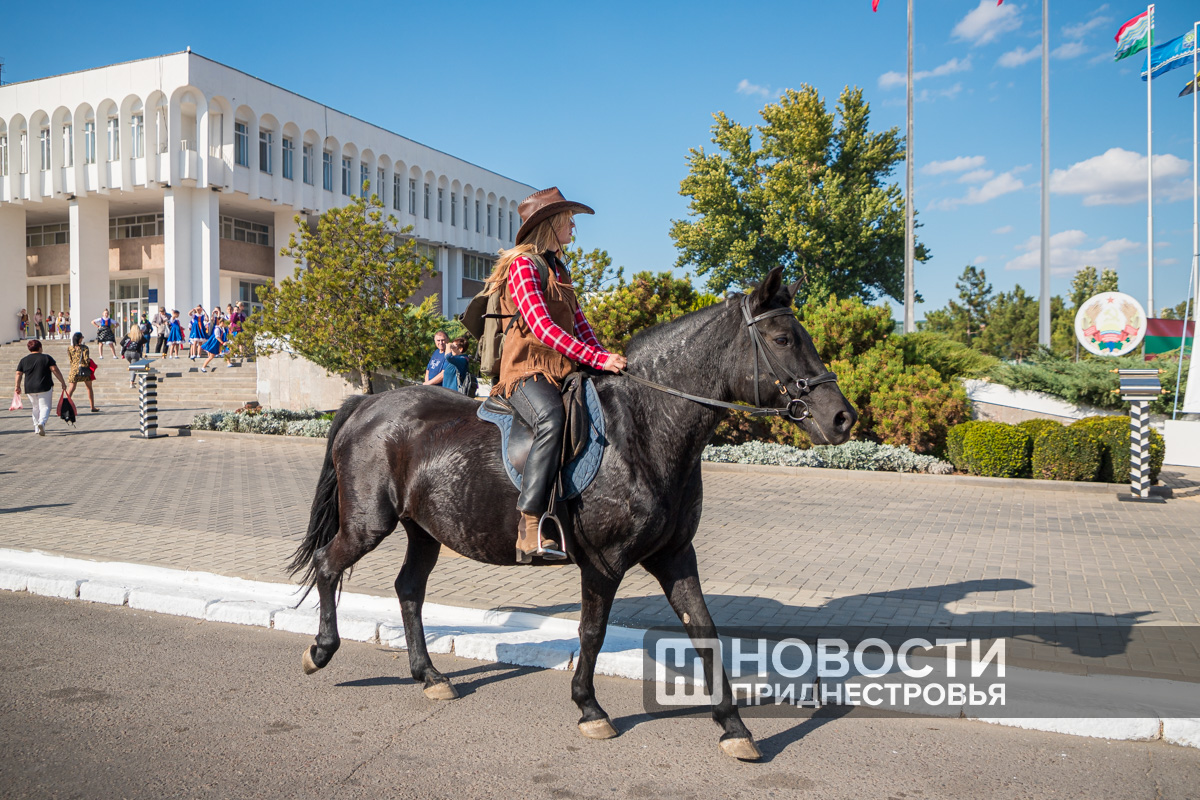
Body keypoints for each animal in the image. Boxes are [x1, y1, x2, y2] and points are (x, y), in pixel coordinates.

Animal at [289, 266, 857, 760]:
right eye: (782, 339)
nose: (842, 417)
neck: (642, 429)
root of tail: (366, 404)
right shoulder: (604, 562)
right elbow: (592, 631)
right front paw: (590, 709)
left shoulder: (675, 555)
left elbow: (704, 630)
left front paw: (734, 727)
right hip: (369, 523)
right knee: (328, 565)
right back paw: (320, 651)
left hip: (424, 530)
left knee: (408, 590)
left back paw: (429, 677)